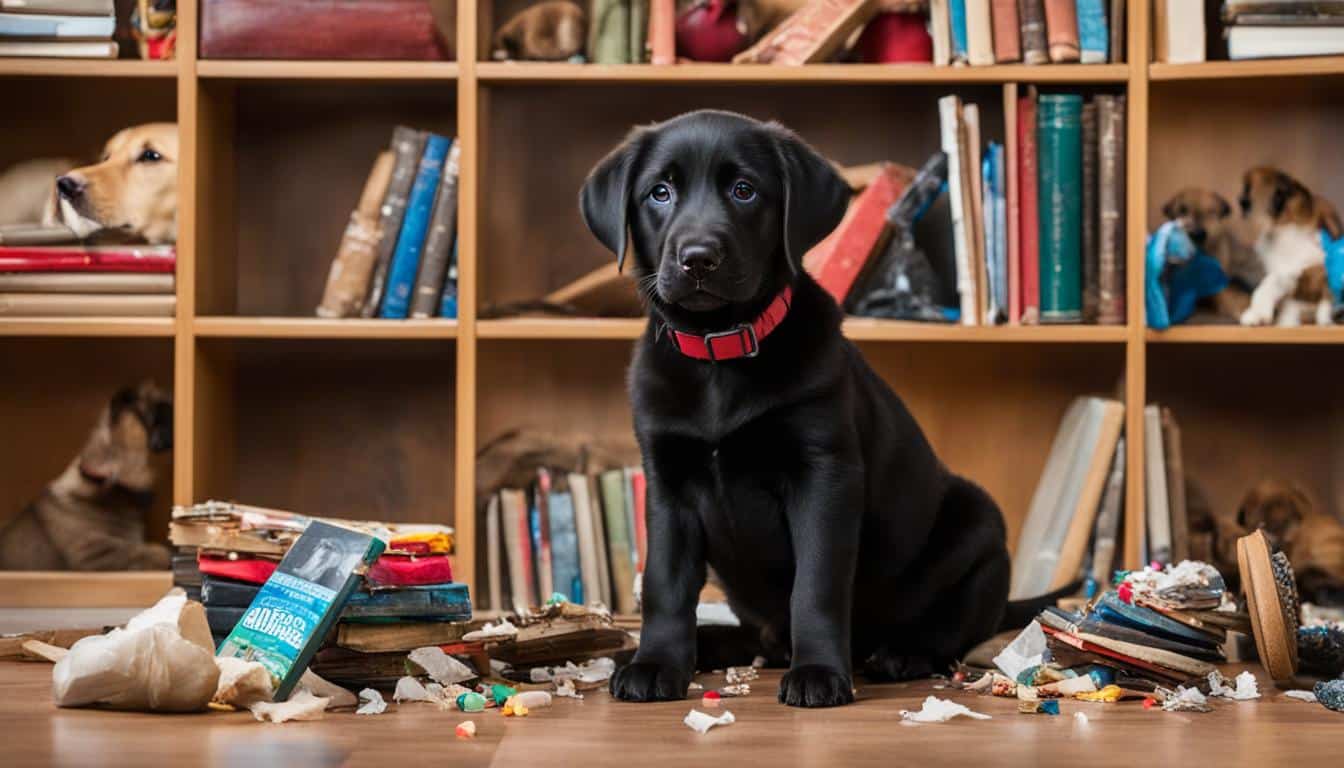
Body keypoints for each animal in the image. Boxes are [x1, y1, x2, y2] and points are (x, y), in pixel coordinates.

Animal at [577, 109, 1010, 710]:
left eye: (744, 190)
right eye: (659, 193)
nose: (698, 258)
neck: (719, 350)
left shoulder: (824, 475)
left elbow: (817, 584)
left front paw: (820, 672)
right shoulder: (667, 483)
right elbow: (665, 583)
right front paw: (656, 662)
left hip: (980, 528)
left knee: (949, 630)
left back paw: (898, 654)